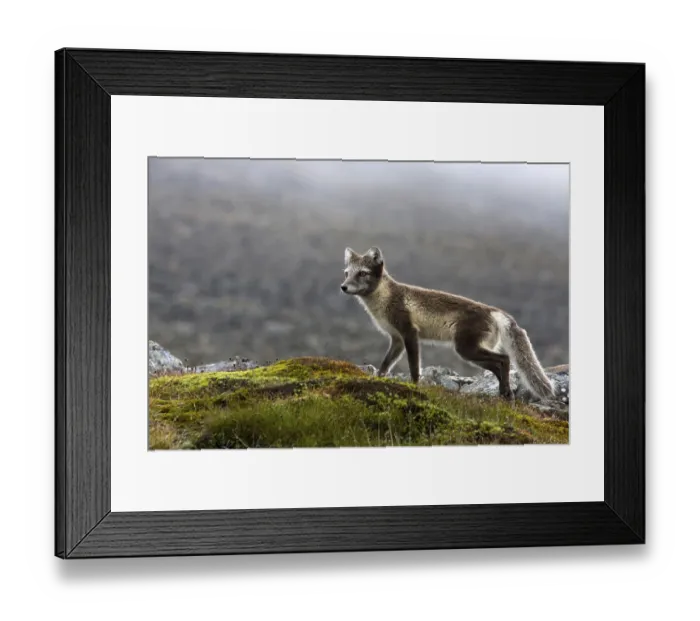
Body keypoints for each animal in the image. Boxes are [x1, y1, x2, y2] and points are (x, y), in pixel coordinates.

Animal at [341, 246, 555, 400]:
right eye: (346, 273)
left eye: (362, 273)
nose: (343, 287)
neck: (385, 298)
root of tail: (493, 310)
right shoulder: (397, 339)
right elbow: (385, 365)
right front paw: (376, 380)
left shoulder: (410, 334)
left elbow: (414, 367)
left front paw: (414, 387)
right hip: (472, 353)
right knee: (497, 365)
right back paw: (505, 393)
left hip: (466, 349)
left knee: (504, 359)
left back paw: (505, 392)